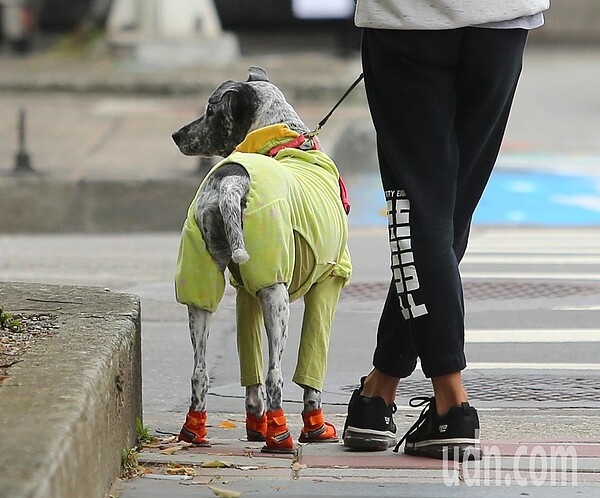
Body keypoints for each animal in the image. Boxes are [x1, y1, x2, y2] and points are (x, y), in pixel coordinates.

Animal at [171, 67, 352, 456]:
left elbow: (249, 375)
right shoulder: (328, 285)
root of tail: (231, 182)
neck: (285, 141)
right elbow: (311, 373)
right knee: (275, 375)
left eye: (211, 111)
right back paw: (281, 436)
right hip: (276, 296)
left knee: (200, 372)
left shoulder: (245, 295)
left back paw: (195, 432)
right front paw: (315, 428)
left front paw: (255, 427)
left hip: (201, 290)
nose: (176, 135)